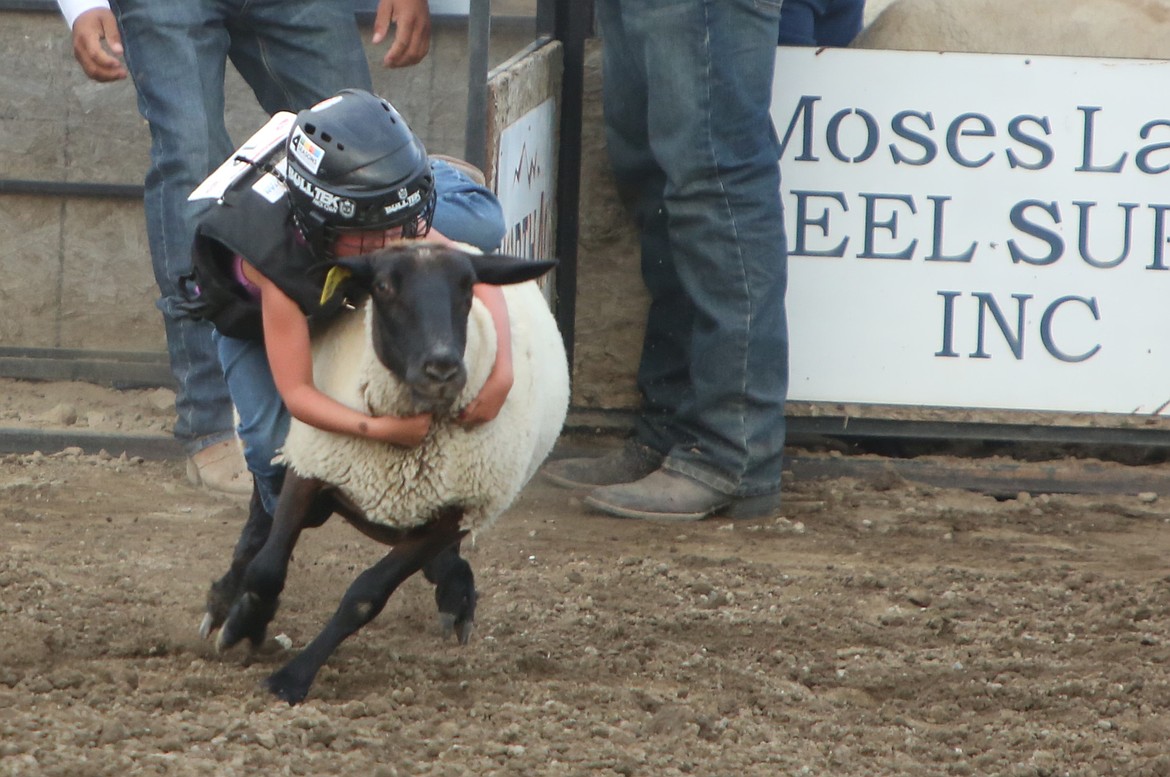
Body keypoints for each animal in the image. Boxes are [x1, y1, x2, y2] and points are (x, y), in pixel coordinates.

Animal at [197, 243, 570, 702]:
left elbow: (366, 595)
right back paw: (223, 602)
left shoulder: (455, 512)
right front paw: (241, 626)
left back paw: (455, 591)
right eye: (384, 287)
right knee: (258, 524)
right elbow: (267, 567)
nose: (442, 368)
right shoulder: (311, 463)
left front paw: (292, 677)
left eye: (468, 287)